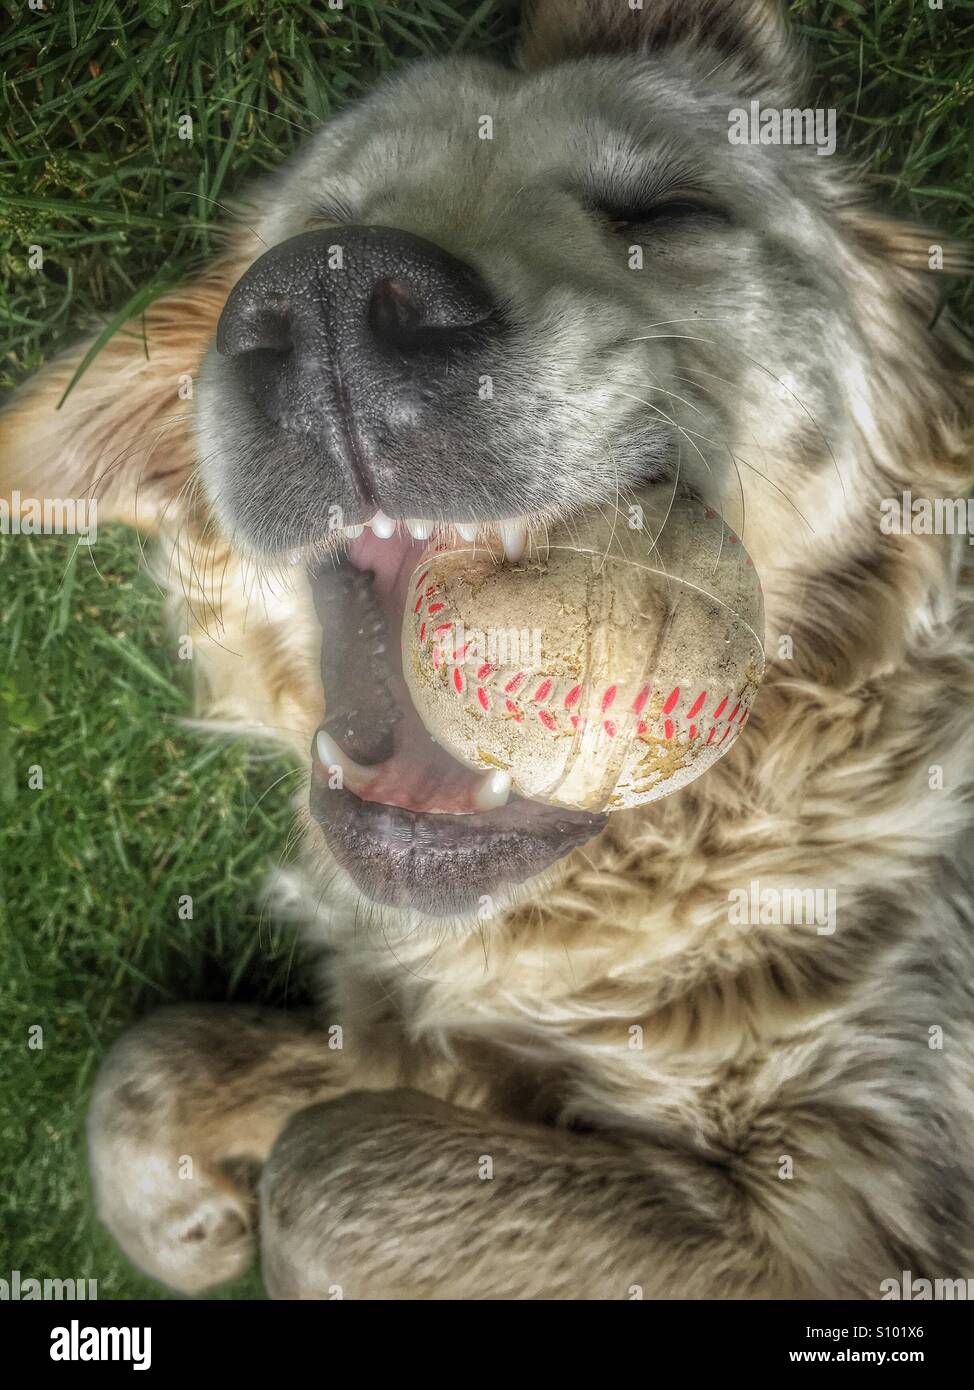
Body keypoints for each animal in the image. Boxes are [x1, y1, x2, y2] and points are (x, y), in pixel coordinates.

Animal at [1, 2, 972, 1301]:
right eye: (309, 229)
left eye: (665, 213)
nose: (324, 305)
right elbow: (156, 1062)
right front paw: (174, 1204)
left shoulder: (858, 1189)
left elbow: (323, 1164)